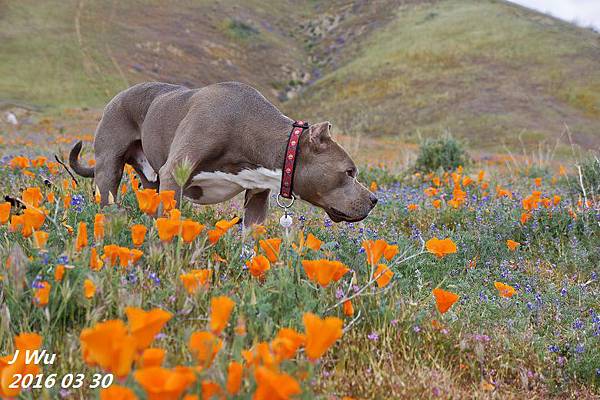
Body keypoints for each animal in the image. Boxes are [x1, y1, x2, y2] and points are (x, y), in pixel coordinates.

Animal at [69, 82, 376, 225]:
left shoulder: (257, 194)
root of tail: (118, 96)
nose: (374, 200)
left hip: (151, 181)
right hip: (110, 167)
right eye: (349, 172)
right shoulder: (174, 174)